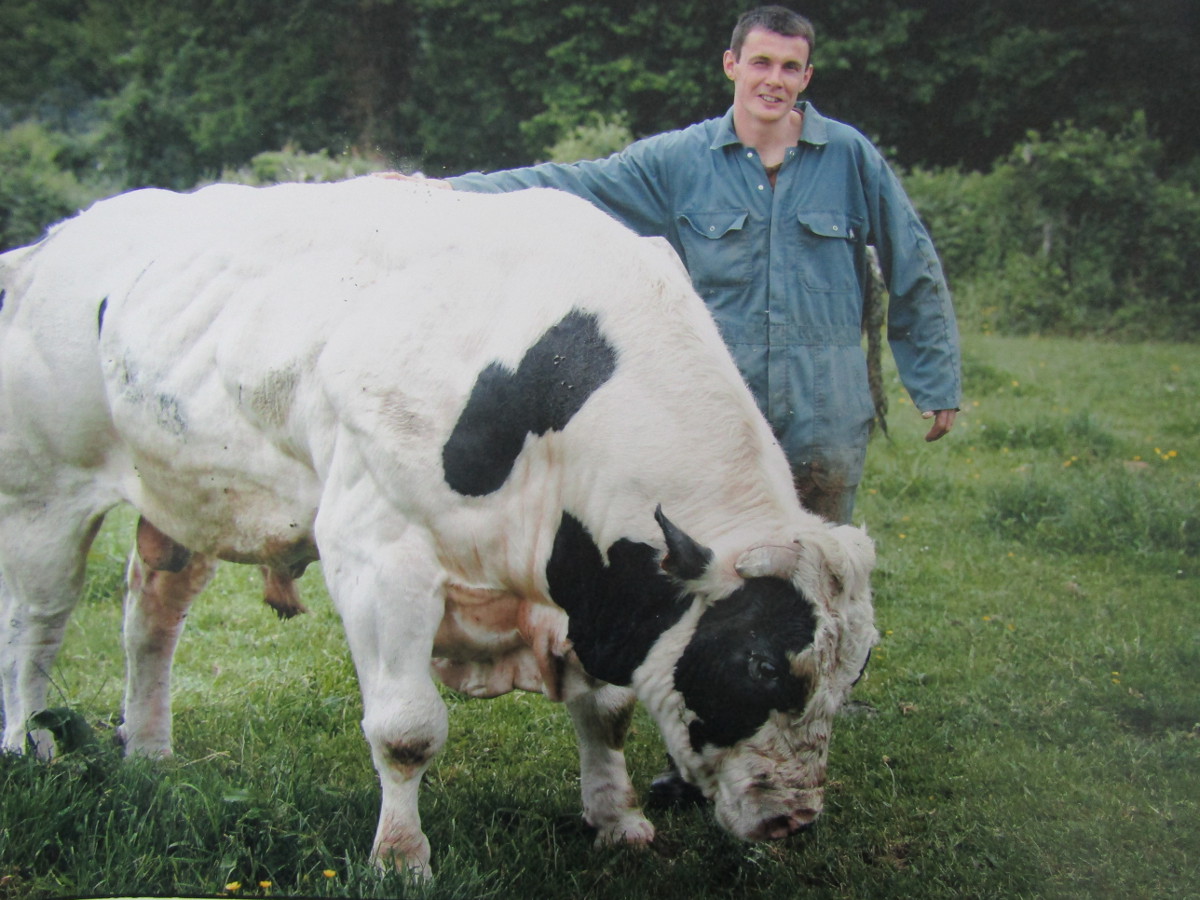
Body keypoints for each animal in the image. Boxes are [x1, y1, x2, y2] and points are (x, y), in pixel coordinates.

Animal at [0, 178, 877, 877]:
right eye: (760, 662)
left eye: (854, 673)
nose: (793, 818)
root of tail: (51, 241)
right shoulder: (377, 555)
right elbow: (406, 731)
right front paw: (400, 858)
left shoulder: (588, 580)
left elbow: (607, 710)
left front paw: (617, 819)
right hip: (43, 494)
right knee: (35, 626)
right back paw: (24, 749)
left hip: (180, 493)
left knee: (151, 615)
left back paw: (149, 756)